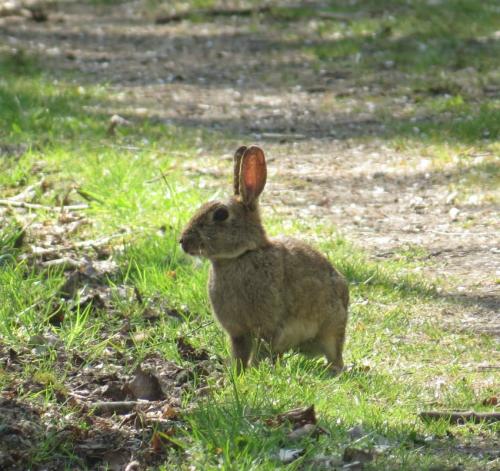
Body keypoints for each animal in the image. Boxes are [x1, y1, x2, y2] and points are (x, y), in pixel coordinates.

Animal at [180, 146, 348, 374]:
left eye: (221, 214)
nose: (183, 241)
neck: (241, 256)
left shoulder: (267, 328)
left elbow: (259, 353)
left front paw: (251, 372)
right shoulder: (238, 333)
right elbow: (240, 355)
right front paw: (236, 374)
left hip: (332, 327)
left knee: (334, 355)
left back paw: (333, 372)